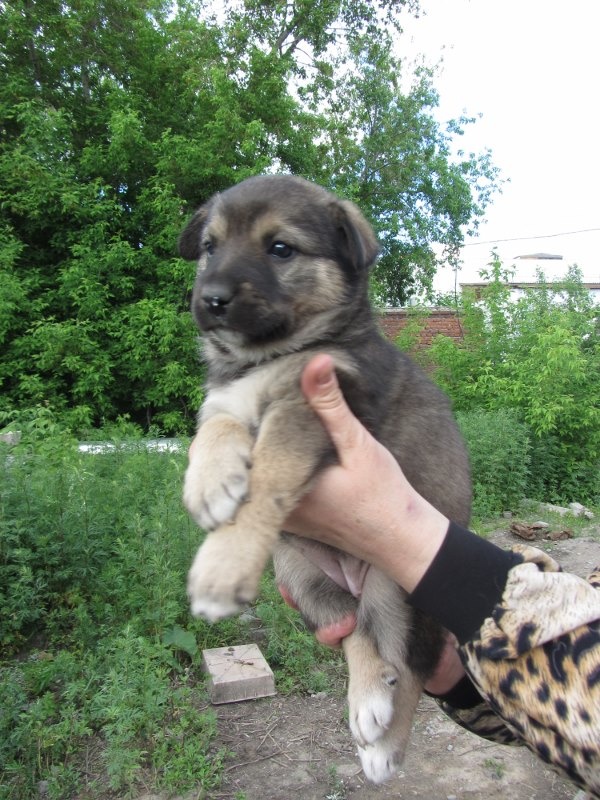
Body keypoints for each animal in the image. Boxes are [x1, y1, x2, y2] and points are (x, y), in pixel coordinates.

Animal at [178, 174, 471, 783]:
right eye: (210, 246)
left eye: (280, 248)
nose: (211, 300)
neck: (268, 356)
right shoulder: (229, 398)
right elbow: (216, 424)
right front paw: (209, 482)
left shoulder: (314, 406)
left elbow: (266, 476)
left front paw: (220, 567)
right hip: (302, 574)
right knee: (358, 631)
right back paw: (366, 701)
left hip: (400, 588)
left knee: (408, 665)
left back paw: (385, 746)